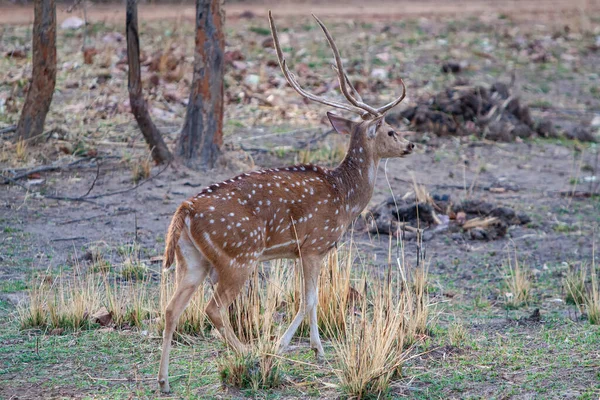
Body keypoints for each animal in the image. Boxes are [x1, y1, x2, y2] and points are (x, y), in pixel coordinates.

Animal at [157, 10, 414, 392]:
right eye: (391, 130)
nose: (411, 144)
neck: (345, 198)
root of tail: (185, 210)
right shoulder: (314, 244)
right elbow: (310, 299)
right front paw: (300, 348)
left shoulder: (296, 251)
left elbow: (306, 299)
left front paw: (301, 346)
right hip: (239, 256)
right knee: (213, 309)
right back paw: (250, 356)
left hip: (191, 260)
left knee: (172, 309)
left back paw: (163, 381)